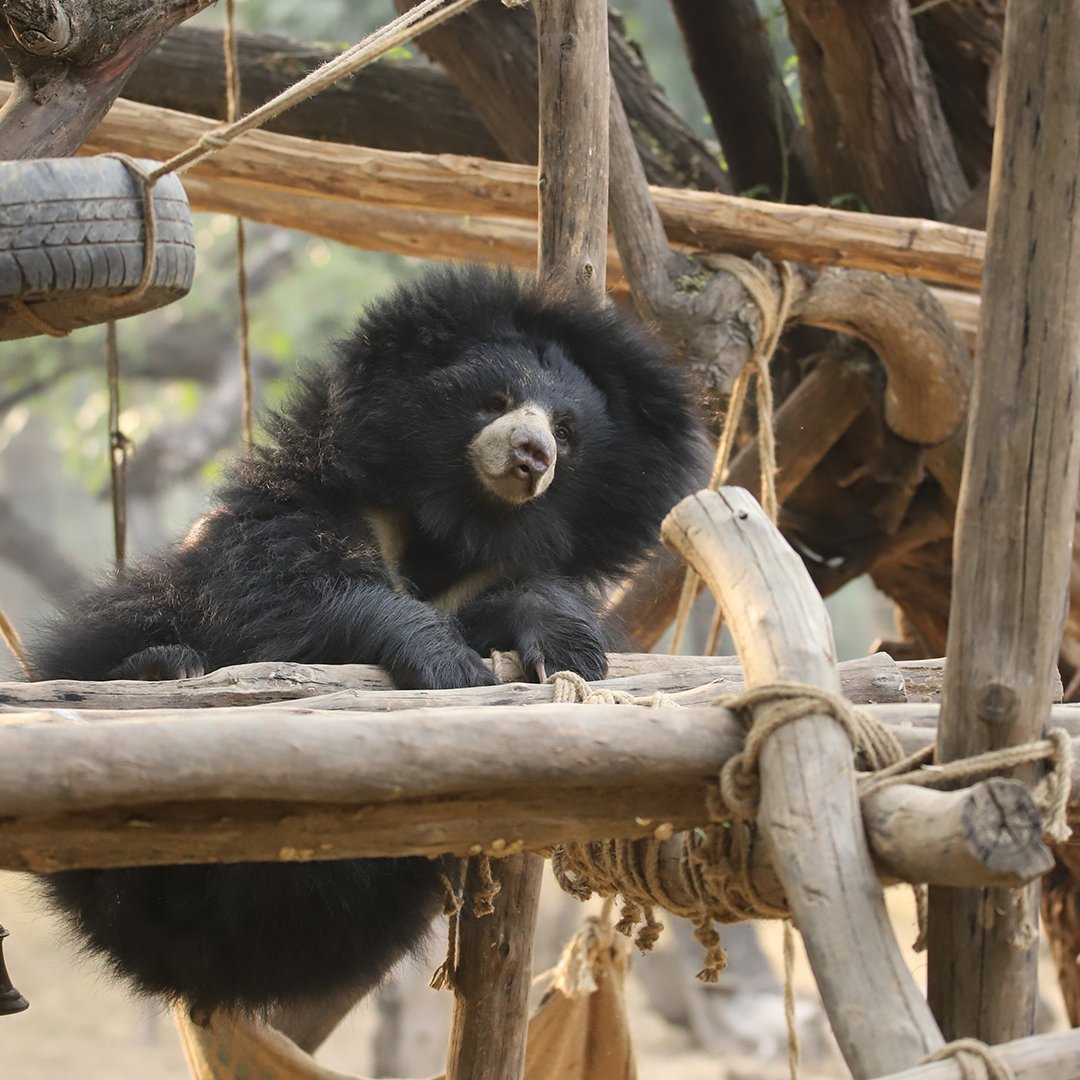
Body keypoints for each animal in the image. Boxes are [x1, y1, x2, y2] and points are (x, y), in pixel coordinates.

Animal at [27, 265, 707, 1017]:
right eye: (494, 402)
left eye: (567, 428)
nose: (532, 454)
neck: (457, 523)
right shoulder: (299, 513)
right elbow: (285, 589)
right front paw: (447, 663)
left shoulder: (503, 565)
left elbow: (534, 594)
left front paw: (568, 651)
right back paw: (163, 669)